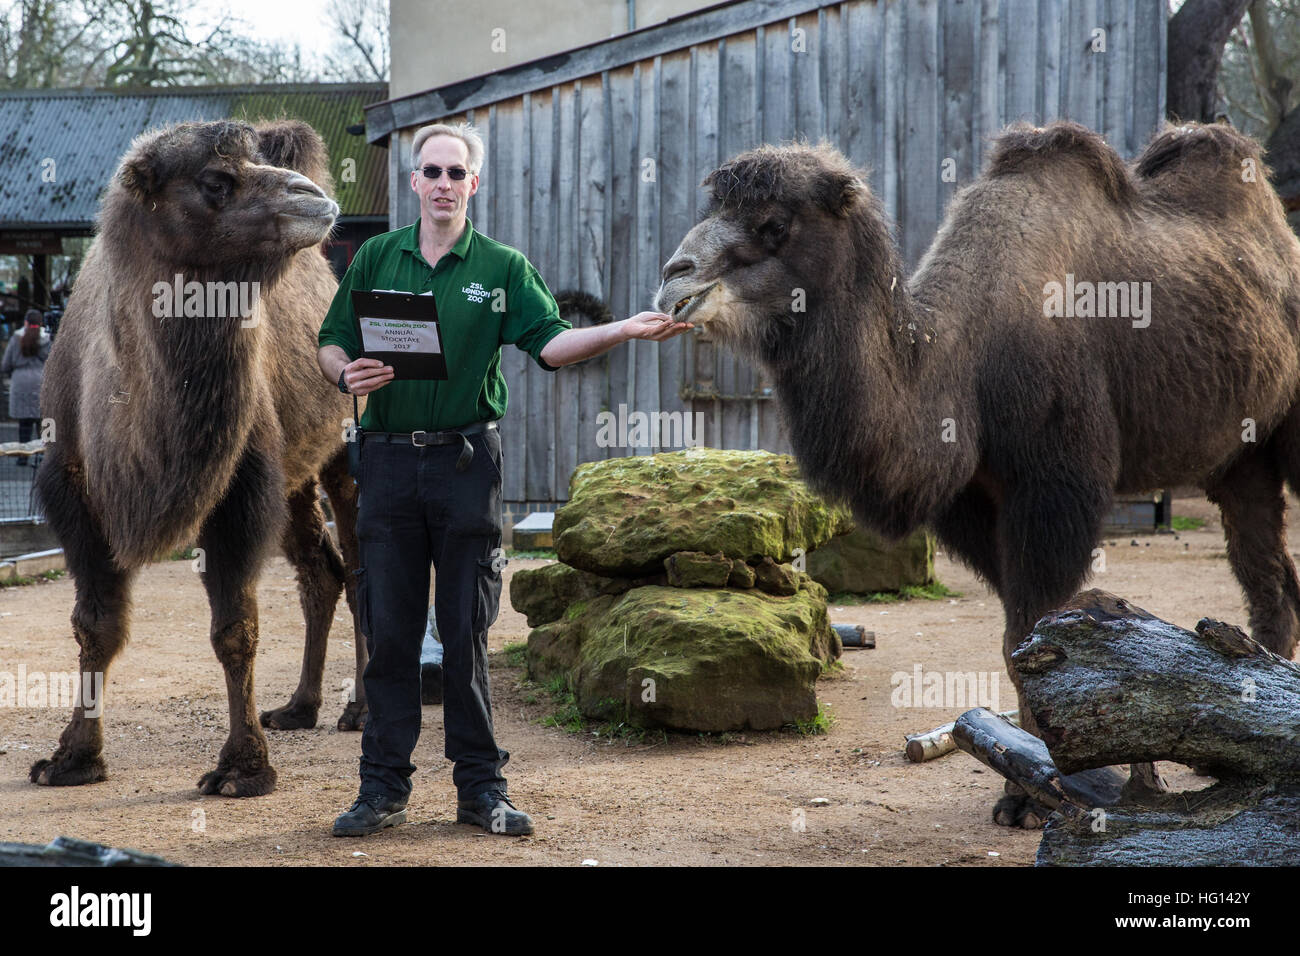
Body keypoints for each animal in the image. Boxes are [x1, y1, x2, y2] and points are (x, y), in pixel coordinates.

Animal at [29, 119, 371, 796]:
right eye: (216, 180)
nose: (314, 199)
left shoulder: (239, 486)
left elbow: (234, 629)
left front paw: (242, 768)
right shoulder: (71, 490)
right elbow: (94, 624)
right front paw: (72, 757)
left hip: (348, 445)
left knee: (363, 569)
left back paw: (360, 710)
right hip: (292, 477)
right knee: (320, 570)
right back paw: (300, 707)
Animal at [655, 123, 1300, 832]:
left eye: (774, 223)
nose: (672, 277)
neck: (966, 364)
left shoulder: (1055, 486)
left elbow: (1028, 635)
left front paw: (1048, 790)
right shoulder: (968, 502)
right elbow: (1020, 644)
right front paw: (1037, 786)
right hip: (1242, 455)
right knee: (1267, 574)